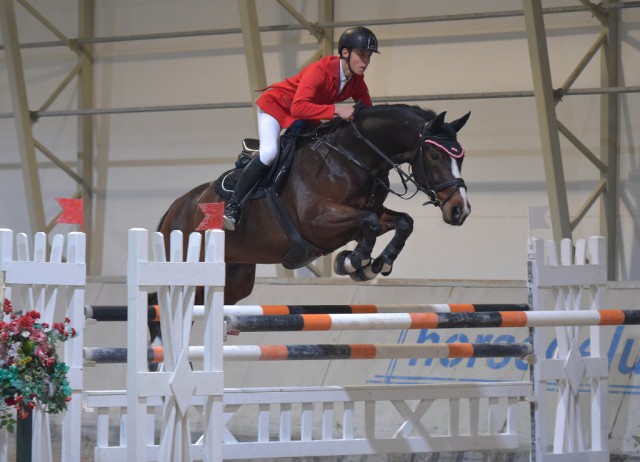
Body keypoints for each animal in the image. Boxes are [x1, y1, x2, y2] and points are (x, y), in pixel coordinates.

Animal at [156, 103, 470, 308]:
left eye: (461, 157)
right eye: (434, 155)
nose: (460, 210)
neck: (353, 157)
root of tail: (175, 208)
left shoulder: (367, 215)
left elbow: (403, 222)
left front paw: (377, 263)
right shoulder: (318, 222)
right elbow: (367, 222)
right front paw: (355, 262)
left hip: (235, 277)